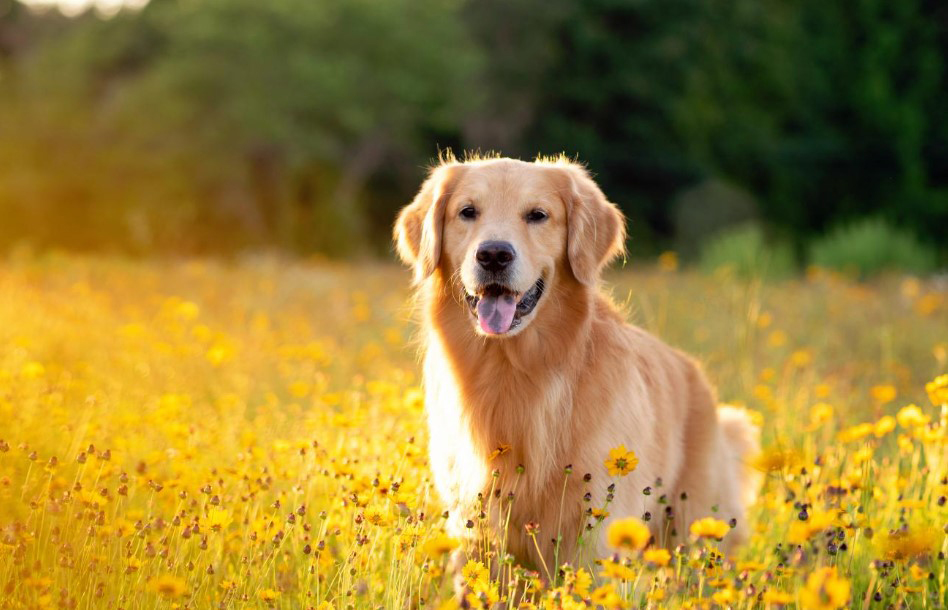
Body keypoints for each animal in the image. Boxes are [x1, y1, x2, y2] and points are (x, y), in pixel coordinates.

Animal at [392, 156, 764, 580]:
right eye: (467, 212)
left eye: (538, 215)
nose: (494, 255)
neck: (515, 372)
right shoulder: (475, 527)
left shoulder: (598, 527)